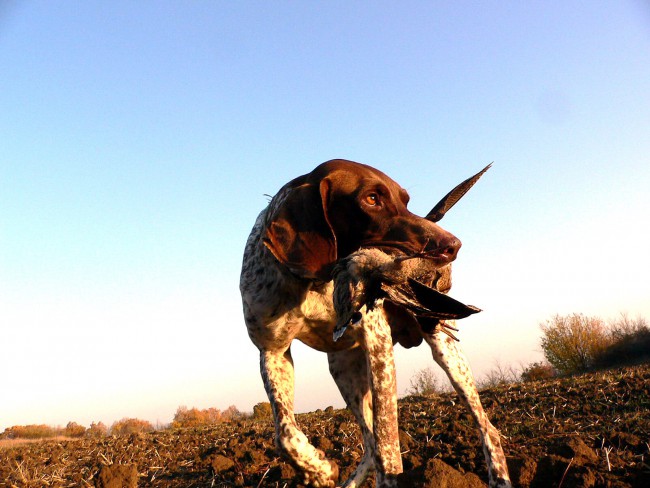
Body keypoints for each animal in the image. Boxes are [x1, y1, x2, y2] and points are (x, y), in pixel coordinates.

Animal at [239, 158, 512, 486]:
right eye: (371, 199)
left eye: (405, 201)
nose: (453, 246)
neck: (315, 282)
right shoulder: (272, 352)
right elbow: (284, 434)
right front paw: (318, 469)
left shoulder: (377, 344)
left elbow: (387, 443)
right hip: (344, 370)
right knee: (368, 444)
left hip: (448, 354)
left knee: (487, 428)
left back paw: (498, 476)